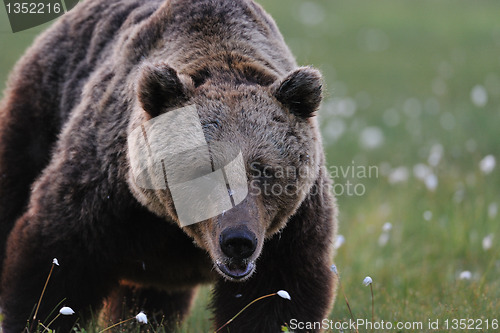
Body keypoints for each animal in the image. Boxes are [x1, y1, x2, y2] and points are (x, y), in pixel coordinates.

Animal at [0, 0, 338, 330]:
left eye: (264, 170)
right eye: (205, 170)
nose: (238, 241)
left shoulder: (291, 228)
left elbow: (276, 296)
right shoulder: (104, 194)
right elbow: (57, 260)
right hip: (41, 110)